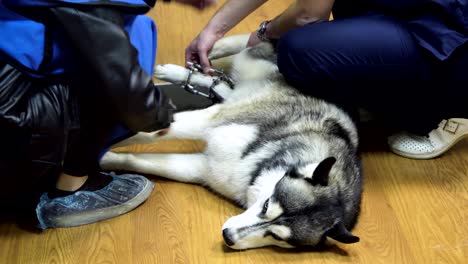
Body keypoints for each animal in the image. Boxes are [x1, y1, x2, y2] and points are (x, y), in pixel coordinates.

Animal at [101, 34, 362, 250]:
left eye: (276, 237)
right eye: (266, 205)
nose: (228, 236)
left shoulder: (203, 169)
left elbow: (137, 160)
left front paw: (106, 160)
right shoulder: (208, 121)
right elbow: (143, 134)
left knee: (222, 85)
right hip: (251, 65)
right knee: (241, 47)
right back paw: (189, 63)